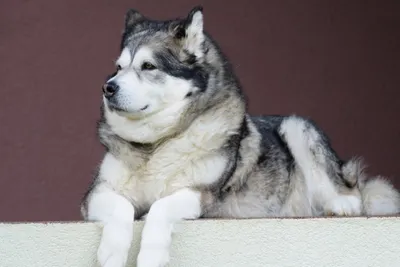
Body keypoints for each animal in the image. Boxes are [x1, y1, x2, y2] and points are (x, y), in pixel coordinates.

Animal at [81, 6, 400, 267]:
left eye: (148, 66)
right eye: (119, 67)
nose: (107, 87)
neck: (157, 144)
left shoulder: (201, 195)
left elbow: (160, 207)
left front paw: (151, 256)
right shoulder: (95, 194)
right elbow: (121, 206)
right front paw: (112, 253)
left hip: (297, 127)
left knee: (352, 193)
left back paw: (341, 204)